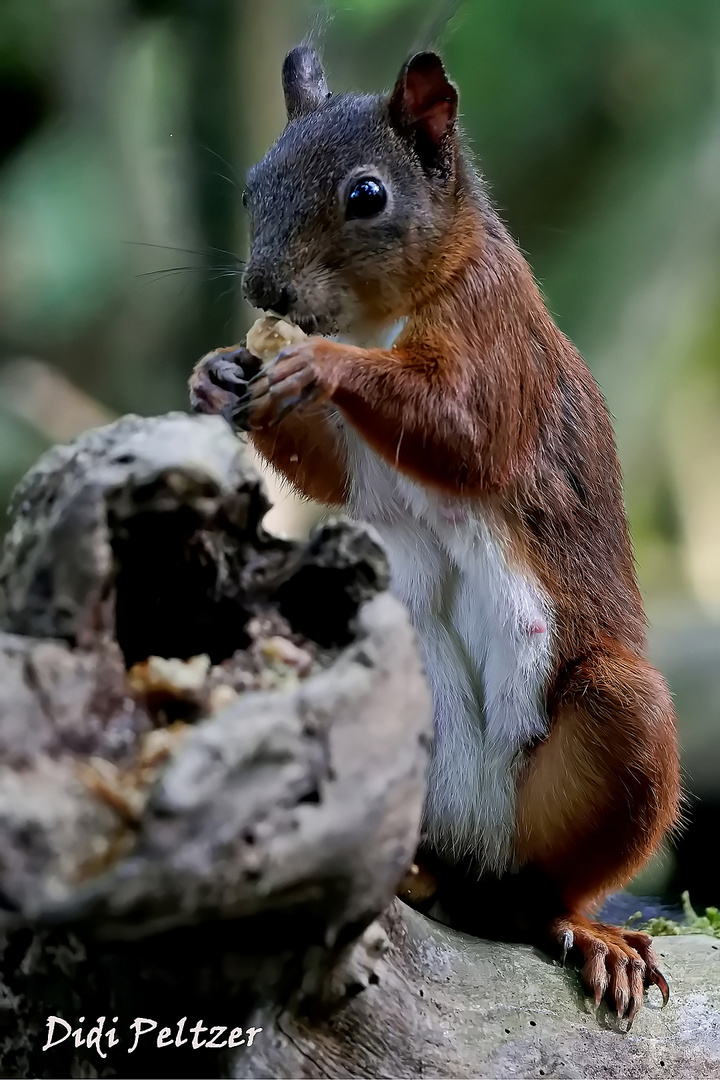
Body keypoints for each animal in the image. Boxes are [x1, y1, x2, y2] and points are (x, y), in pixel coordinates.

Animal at [187, 44, 682, 1019]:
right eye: (254, 184)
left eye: (367, 195)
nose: (265, 291)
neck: (379, 319)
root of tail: (471, 850)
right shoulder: (358, 464)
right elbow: (335, 472)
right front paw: (220, 375)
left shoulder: (497, 331)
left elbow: (464, 426)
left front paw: (319, 362)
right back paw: (412, 872)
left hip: (603, 745)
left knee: (540, 891)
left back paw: (587, 932)